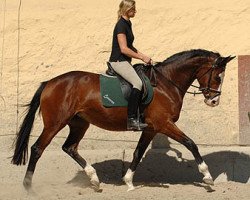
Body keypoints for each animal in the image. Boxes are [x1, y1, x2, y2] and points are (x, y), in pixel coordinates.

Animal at [11, 48, 234, 191]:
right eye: (218, 76)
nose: (214, 101)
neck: (166, 83)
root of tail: (50, 82)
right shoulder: (164, 124)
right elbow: (191, 143)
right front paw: (207, 176)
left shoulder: (151, 128)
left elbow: (137, 153)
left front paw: (128, 181)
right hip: (55, 123)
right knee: (37, 148)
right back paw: (28, 187)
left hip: (80, 123)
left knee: (70, 147)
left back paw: (94, 180)